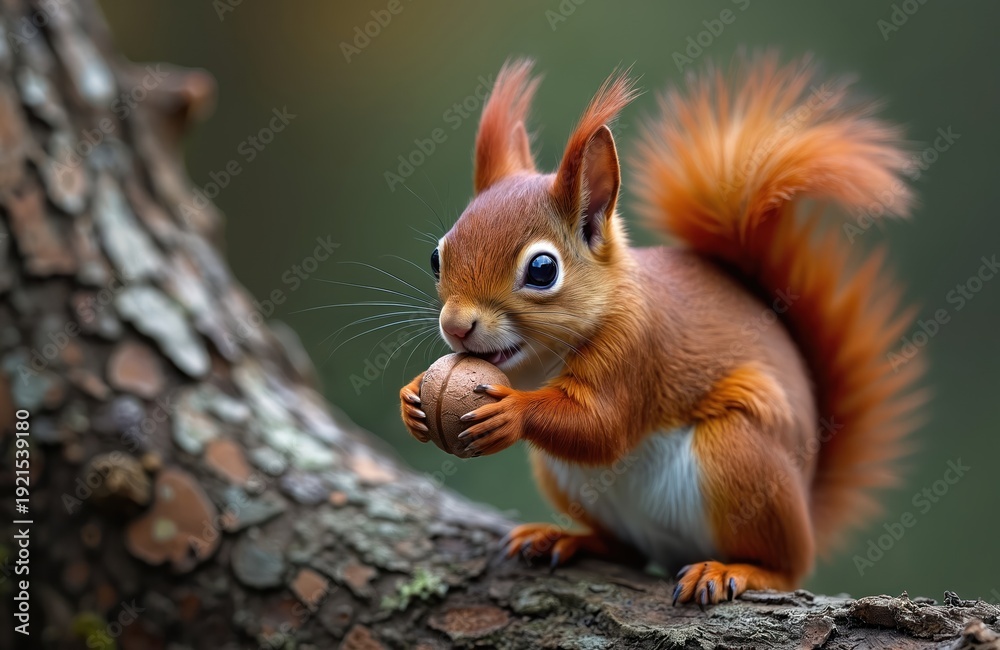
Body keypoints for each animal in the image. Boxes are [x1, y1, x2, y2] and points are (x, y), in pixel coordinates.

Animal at [399, 54, 924, 605]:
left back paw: (735, 569)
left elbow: (602, 426)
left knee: (785, 566)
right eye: (436, 256)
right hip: (571, 481)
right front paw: (412, 397)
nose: (456, 326)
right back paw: (564, 538)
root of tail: (805, 506)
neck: (545, 361)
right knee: (626, 549)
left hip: (740, 455)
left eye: (542, 270)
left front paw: (513, 412)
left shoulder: (637, 350)